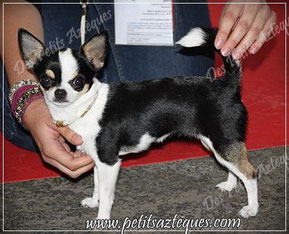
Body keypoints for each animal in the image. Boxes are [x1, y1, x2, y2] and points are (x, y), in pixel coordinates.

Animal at [17, 27, 256, 219]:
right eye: (45, 80)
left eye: (78, 81)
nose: (60, 92)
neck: (86, 109)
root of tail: (227, 84)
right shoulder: (97, 161)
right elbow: (96, 185)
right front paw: (93, 202)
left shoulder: (109, 162)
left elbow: (107, 195)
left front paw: (101, 218)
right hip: (218, 143)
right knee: (234, 169)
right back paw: (230, 185)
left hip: (223, 142)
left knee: (250, 174)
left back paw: (251, 209)